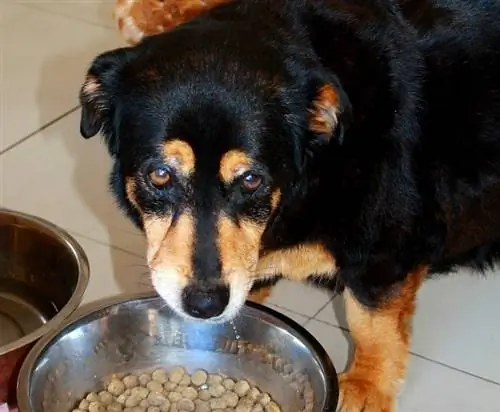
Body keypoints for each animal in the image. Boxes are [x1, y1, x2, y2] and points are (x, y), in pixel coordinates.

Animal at [77, 1, 500, 410]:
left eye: (251, 180)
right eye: (161, 175)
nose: (205, 304)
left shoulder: (384, 248)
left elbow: (370, 323)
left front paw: (366, 387)